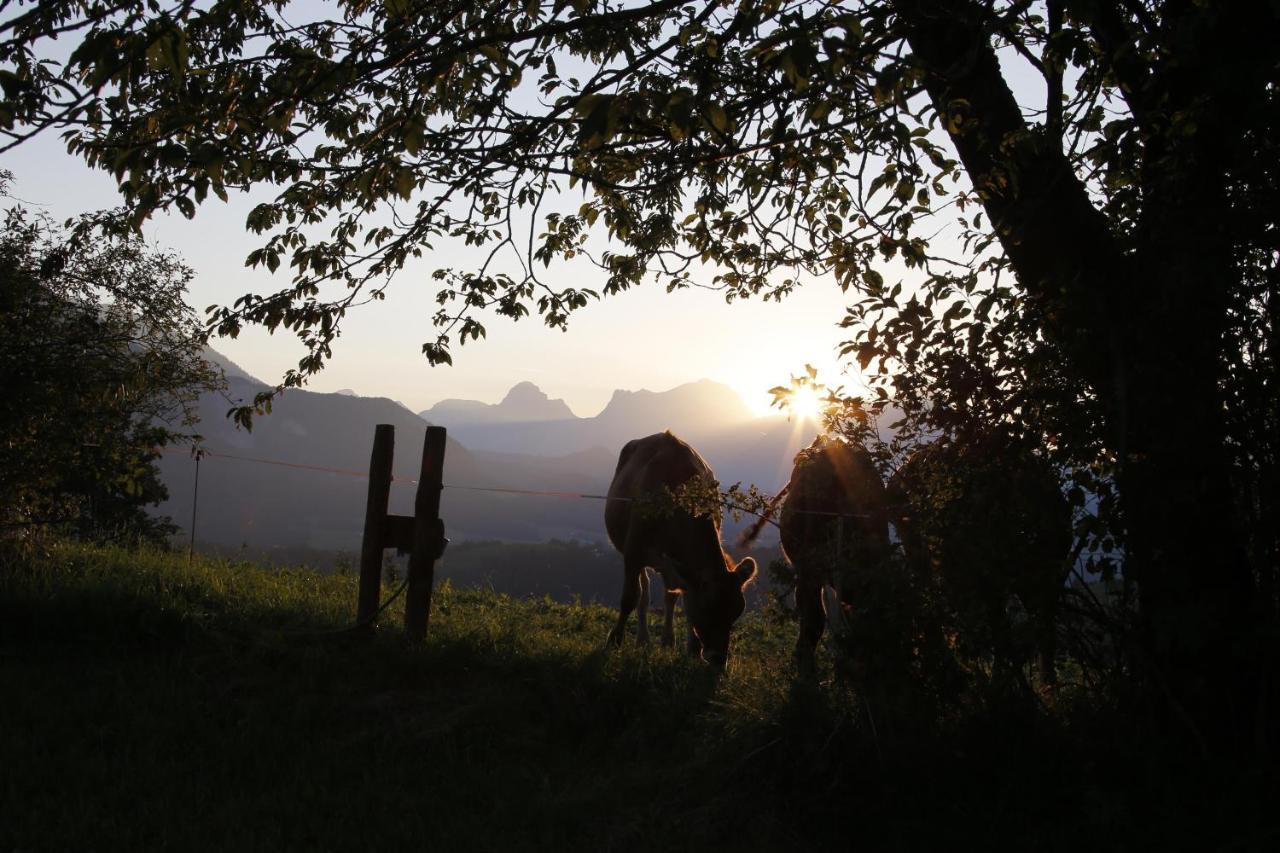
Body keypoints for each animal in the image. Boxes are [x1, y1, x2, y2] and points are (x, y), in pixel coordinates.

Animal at [604, 432, 752, 666]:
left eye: (737, 612)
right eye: (708, 608)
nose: (719, 660)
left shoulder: (682, 564)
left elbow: (683, 599)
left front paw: (692, 649)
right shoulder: (633, 551)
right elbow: (629, 597)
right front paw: (615, 640)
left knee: (669, 596)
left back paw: (667, 639)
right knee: (644, 594)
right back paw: (643, 639)